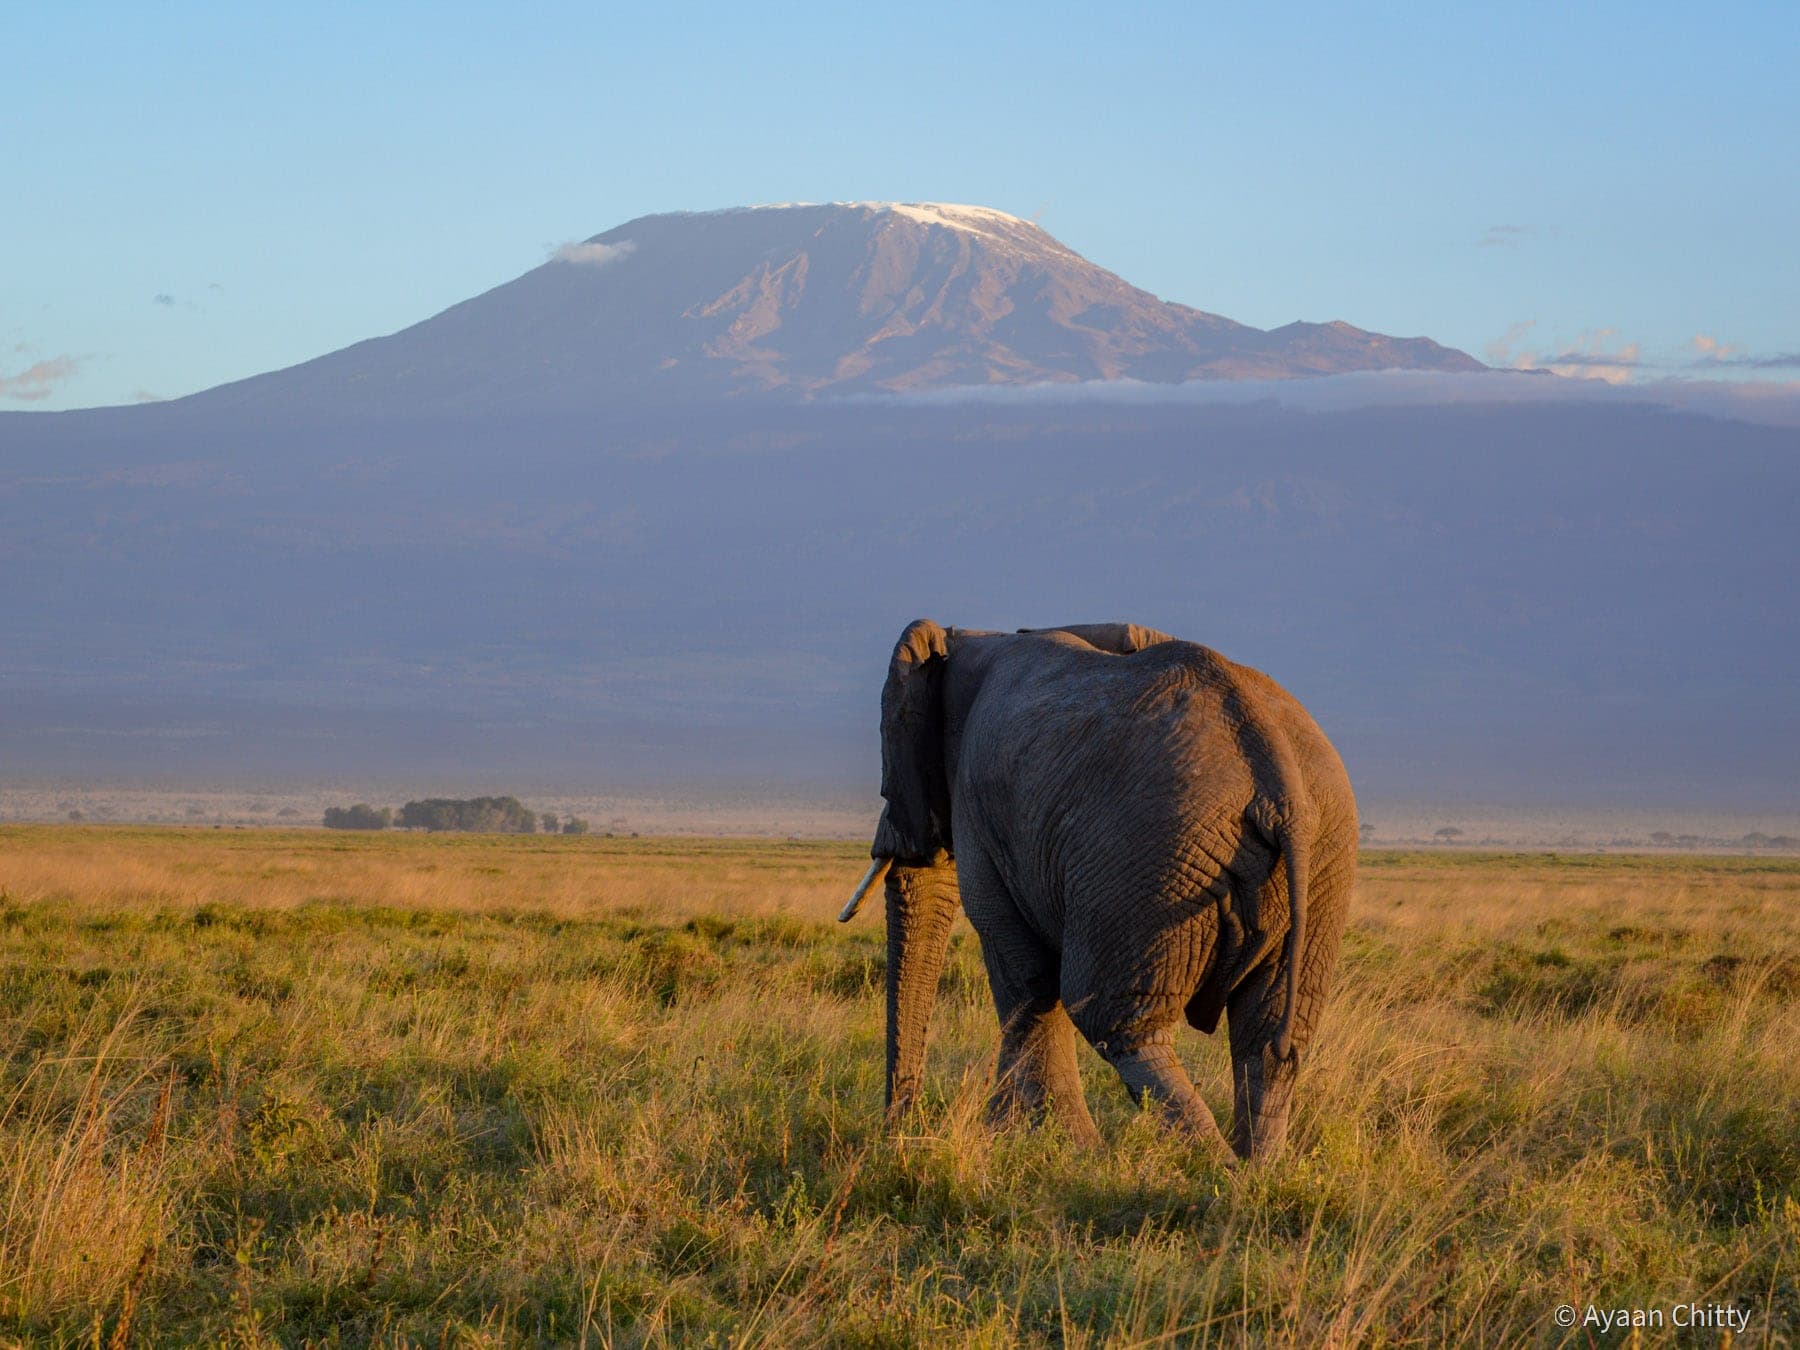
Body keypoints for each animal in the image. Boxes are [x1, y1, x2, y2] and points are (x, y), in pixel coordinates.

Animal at [838, 620, 1357, 1162]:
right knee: (1270, 1038)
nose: (899, 1130)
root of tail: (1277, 778)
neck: (974, 636)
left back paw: (1212, 1167)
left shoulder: (979, 807)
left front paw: (1031, 1142)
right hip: (1321, 859)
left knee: (1119, 1024)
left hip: (1150, 860)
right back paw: (1256, 1167)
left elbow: (1022, 971)